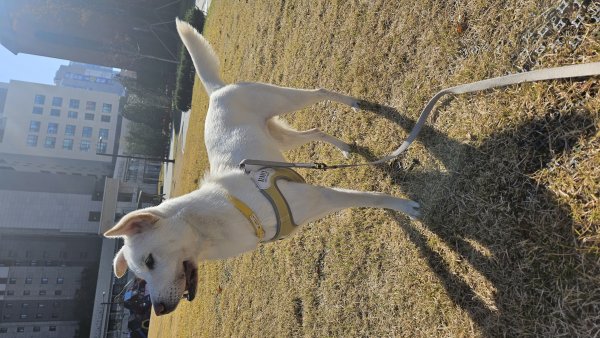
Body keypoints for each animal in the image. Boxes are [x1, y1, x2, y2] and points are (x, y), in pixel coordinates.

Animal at [103, 19, 420, 316]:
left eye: (149, 261)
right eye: (140, 276)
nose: (158, 309)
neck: (226, 213)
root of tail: (217, 92)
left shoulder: (319, 196)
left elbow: (373, 198)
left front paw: (407, 207)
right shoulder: (317, 200)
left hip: (286, 101)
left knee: (319, 91)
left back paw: (352, 102)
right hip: (280, 138)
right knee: (315, 131)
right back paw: (343, 148)